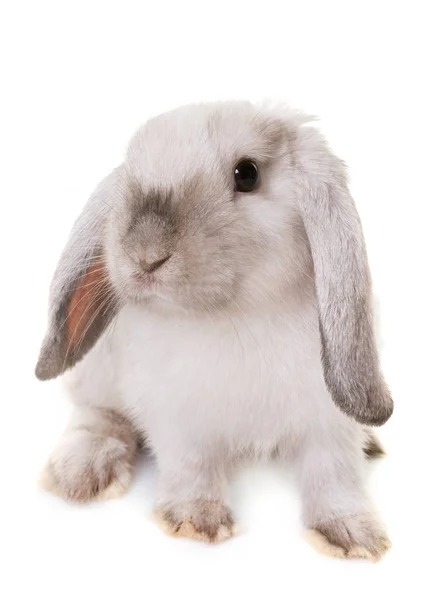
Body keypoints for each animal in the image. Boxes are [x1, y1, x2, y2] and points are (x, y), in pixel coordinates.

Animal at [35, 102, 392, 556]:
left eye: (247, 174)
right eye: (131, 170)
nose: (145, 255)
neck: (238, 316)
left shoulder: (329, 424)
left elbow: (335, 475)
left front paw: (353, 536)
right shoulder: (178, 419)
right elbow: (192, 466)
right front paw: (197, 520)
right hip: (98, 373)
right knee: (97, 413)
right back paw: (81, 472)